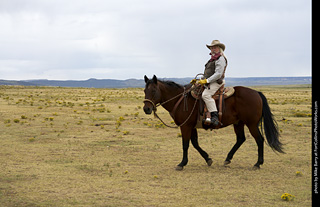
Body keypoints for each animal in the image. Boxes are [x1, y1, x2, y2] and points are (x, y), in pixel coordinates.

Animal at [144, 75, 284, 171]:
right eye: (145, 91)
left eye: (153, 91)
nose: (146, 109)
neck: (180, 99)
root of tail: (257, 93)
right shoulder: (192, 126)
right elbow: (195, 143)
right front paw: (208, 159)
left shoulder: (185, 126)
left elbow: (186, 145)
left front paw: (182, 163)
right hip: (238, 123)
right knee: (240, 139)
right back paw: (227, 159)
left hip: (252, 124)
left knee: (259, 140)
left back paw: (257, 163)